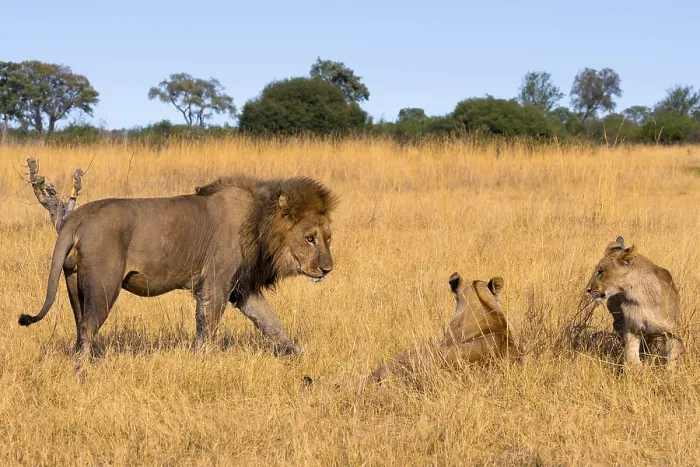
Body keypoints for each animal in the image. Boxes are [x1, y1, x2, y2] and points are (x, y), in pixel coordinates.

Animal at [19, 174, 338, 366]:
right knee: (87, 328)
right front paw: (202, 362)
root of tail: (78, 216)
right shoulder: (216, 284)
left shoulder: (241, 289)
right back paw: (84, 373)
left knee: (80, 328)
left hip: (74, 284)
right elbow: (207, 328)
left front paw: (297, 354)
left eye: (328, 238)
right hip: (103, 286)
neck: (260, 222)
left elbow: (272, 324)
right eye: (309, 238)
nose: (328, 269)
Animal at [586, 236, 684, 369]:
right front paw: (637, 368)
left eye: (601, 271)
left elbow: (674, 355)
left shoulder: (672, 329)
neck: (640, 297)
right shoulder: (632, 326)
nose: (588, 289)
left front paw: (670, 371)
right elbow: (631, 354)